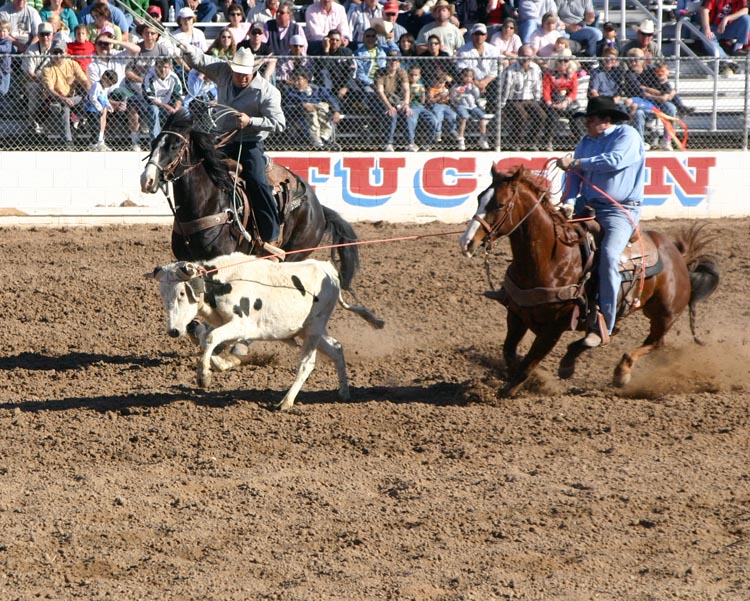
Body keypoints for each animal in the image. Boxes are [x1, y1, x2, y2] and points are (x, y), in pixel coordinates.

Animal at [143, 112, 362, 290]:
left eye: (174, 146)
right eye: (153, 144)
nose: (147, 180)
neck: (206, 204)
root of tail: (318, 207)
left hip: (295, 252)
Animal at [148, 253, 388, 412]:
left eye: (181, 293)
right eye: (162, 294)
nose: (173, 331)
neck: (224, 282)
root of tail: (327, 269)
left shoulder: (242, 325)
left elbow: (211, 337)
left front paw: (204, 376)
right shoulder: (222, 324)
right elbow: (204, 337)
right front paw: (222, 364)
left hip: (313, 330)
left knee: (307, 364)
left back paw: (286, 402)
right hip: (308, 330)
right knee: (337, 348)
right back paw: (344, 392)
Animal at [458, 166, 724, 396]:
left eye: (500, 204)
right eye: (479, 198)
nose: (467, 242)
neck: (551, 259)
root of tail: (678, 254)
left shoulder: (555, 326)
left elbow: (531, 360)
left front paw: (508, 390)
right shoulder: (516, 314)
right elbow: (510, 353)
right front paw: (531, 379)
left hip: (664, 313)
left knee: (656, 342)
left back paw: (620, 371)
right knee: (622, 333)